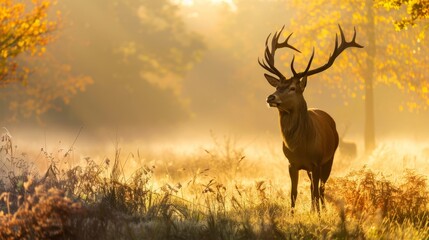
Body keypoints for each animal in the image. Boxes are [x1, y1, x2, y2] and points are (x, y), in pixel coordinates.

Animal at [258, 24, 362, 212]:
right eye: (277, 86)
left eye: (293, 88)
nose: (270, 97)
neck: (299, 147)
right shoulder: (292, 163)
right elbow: (293, 193)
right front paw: (293, 214)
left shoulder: (317, 162)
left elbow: (315, 191)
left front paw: (318, 214)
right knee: (314, 187)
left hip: (329, 159)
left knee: (321, 188)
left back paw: (321, 209)